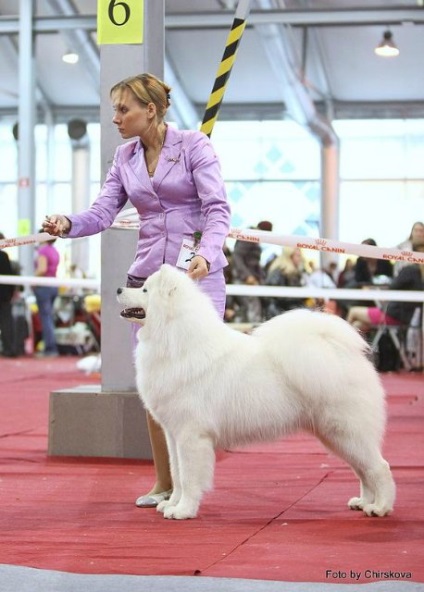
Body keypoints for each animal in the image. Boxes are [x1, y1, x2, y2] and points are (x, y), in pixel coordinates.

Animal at [116, 264, 394, 520]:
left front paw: (184, 511)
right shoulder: (173, 435)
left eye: (144, 290)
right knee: (362, 470)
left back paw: (380, 507)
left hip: (346, 430)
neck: (176, 339)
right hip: (335, 435)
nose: (119, 289)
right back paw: (363, 502)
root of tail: (340, 350)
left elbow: (189, 477)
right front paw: (172, 504)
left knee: (379, 467)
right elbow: (176, 473)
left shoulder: (191, 435)